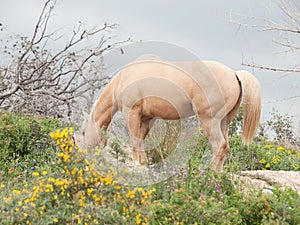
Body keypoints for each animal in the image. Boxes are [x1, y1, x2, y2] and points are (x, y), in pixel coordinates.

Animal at [78, 59, 262, 171]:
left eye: (83, 132)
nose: (85, 154)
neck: (124, 79)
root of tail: (234, 73)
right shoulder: (148, 118)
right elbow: (141, 139)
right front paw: (143, 162)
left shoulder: (131, 112)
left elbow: (135, 138)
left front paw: (137, 162)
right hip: (224, 122)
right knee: (226, 147)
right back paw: (217, 172)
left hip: (209, 121)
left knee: (220, 145)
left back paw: (208, 171)